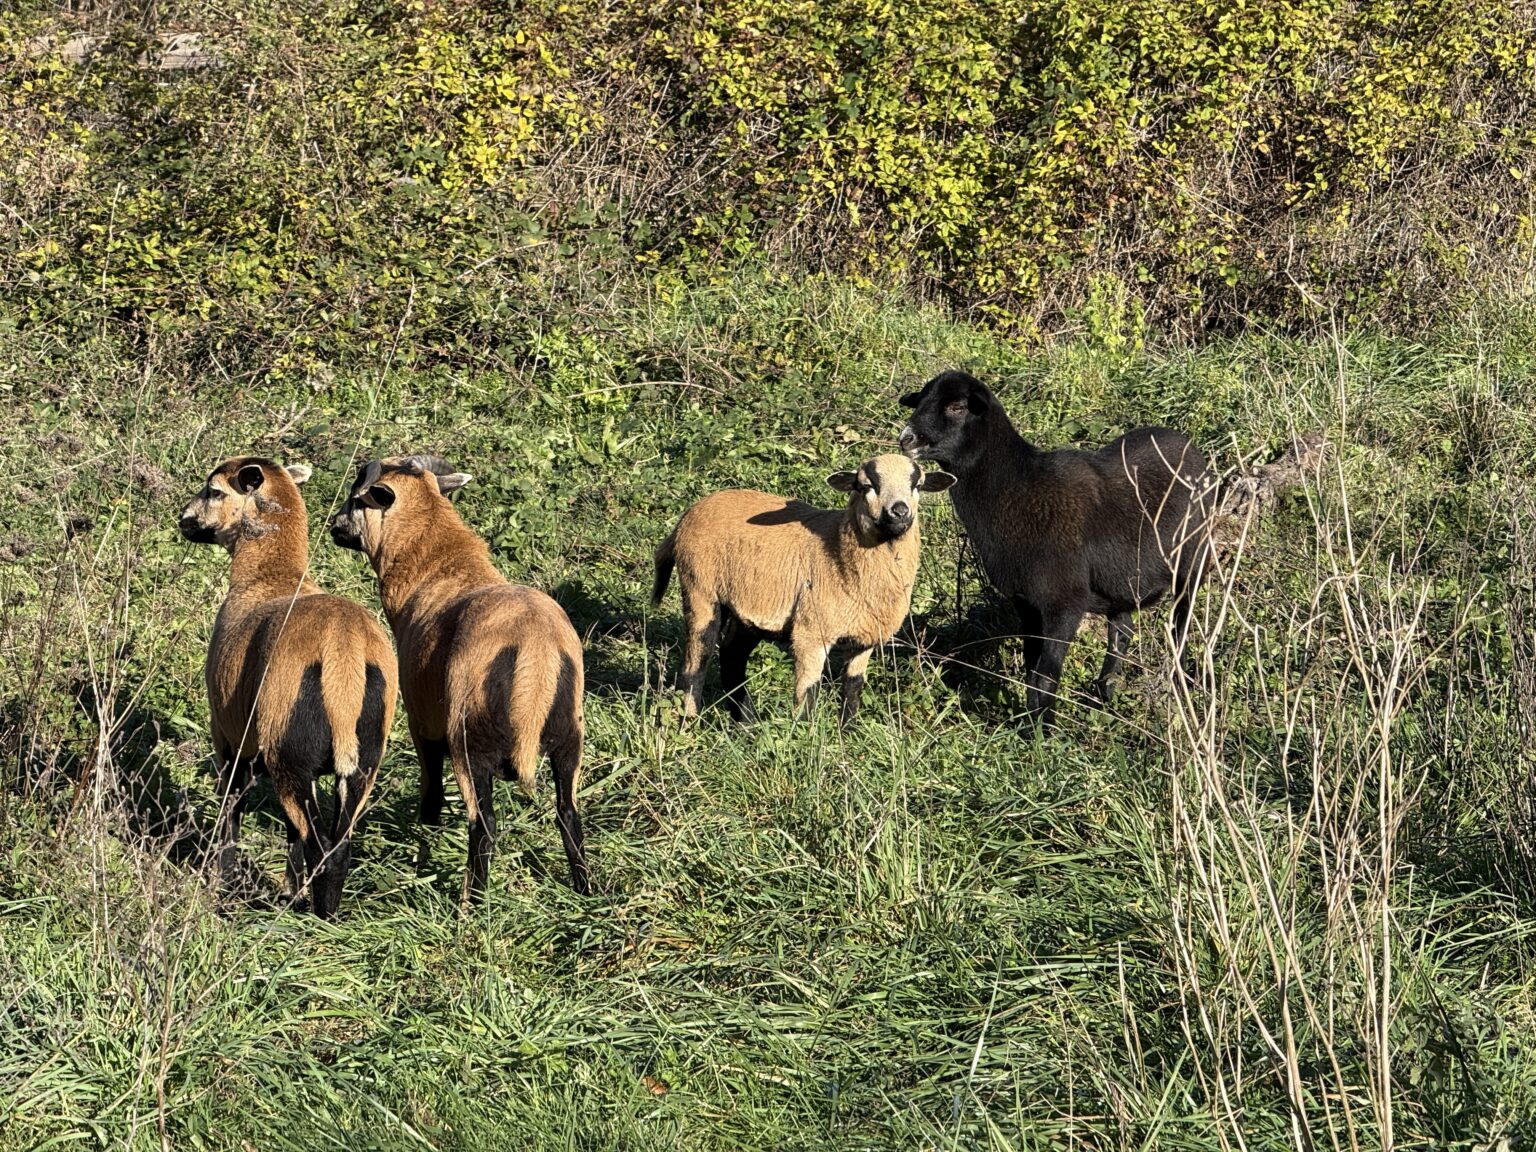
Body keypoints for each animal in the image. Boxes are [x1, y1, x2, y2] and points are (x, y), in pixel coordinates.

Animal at [178, 456, 397, 918]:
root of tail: (343, 650)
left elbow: (232, 806)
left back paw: (312, 918)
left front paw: (222, 880)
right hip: (363, 759)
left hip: (288, 752)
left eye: (214, 491)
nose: (184, 521)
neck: (271, 575)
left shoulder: (229, 735)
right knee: (338, 843)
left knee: (321, 846)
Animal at [327, 454, 589, 901]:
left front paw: (424, 839)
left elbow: (431, 789)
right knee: (568, 815)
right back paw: (588, 892)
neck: (440, 568)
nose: (334, 527)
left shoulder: (422, 719)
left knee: (484, 826)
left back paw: (474, 903)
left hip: (470, 742)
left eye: (358, 498)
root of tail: (535, 649)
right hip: (569, 737)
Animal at [652, 453, 956, 724]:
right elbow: (807, 692)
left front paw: (848, 732)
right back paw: (690, 725)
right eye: (866, 486)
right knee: (695, 664)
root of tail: (687, 516)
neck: (837, 551)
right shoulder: (811, 632)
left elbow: (853, 688)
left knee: (732, 655)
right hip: (700, 589)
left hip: (748, 611)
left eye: (917, 485)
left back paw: (747, 725)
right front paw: (806, 736)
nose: (900, 511)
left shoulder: (865, 637)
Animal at [898, 370, 1214, 727]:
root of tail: (1185, 443)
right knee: (1121, 631)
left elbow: (1045, 676)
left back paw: (1180, 686)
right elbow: (1030, 669)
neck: (1017, 489)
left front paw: (1043, 732)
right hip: (1120, 581)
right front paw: (1029, 726)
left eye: (957, 406)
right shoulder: (1025, 601)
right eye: (921, 399)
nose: (907, 439)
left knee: (1180, 626)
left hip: (1192, 561)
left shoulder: (1064, 602)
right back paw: (1104, 696)